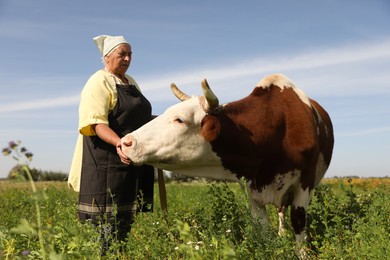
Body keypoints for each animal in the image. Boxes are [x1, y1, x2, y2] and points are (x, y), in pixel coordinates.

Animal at [120, 73, 334, 246]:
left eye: (180, 120)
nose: (126, 142)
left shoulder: (305, 183)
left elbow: (298, 222)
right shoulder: (254, 191)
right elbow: (264, 230)